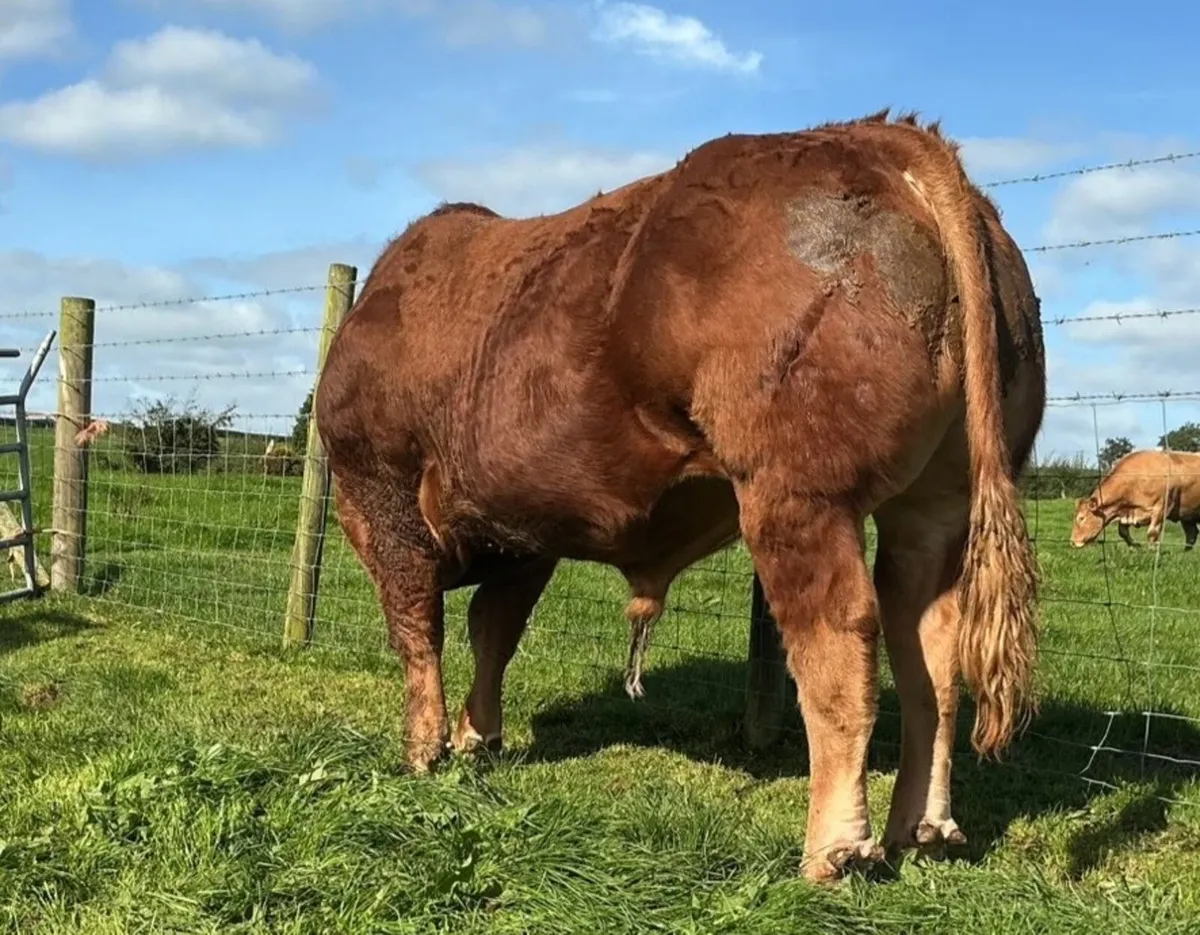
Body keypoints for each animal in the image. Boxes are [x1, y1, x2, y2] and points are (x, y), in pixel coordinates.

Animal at [315, 109, 1046, 883]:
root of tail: (875, 136)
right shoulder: (527, 534)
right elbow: (495, 630)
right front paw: (475, 737)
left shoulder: (382, 494)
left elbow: (417, 626)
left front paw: (423, 749)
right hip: (936, 506)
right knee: (930, 650)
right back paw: (921, 826)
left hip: (798, 493)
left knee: (839, 641)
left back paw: (834, 848)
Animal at [1071, 449, 1200, 551]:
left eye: (1081, 518)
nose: (1072, 541)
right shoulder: (1126, 511)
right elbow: (1123, 532)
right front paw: (1135, 546)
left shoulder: (1161, 507)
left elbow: (1152, 532)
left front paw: (1152, 550)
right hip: (1187, 514)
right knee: (1192, 534)